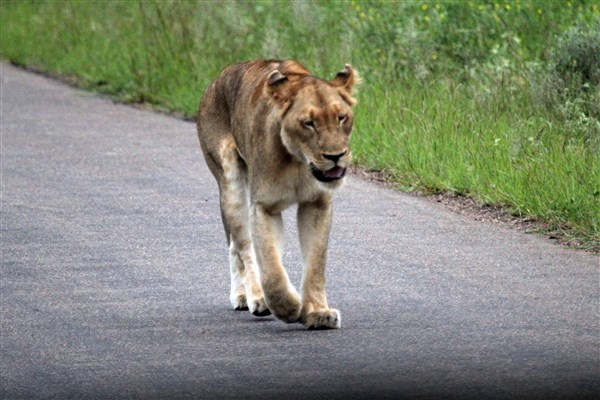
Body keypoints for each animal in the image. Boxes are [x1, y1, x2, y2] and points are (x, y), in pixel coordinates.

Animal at [196, 60, 358, 329]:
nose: (335, 156)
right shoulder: (264, 206)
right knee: (242, 248)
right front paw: (288, 307)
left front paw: (318, 313)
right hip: (231, 185)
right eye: (308, 123)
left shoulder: (317, 203)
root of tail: (218, 78)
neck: (299, 161)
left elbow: (315, 263)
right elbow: (270, 269)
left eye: (341, 117)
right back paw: (255, 299)